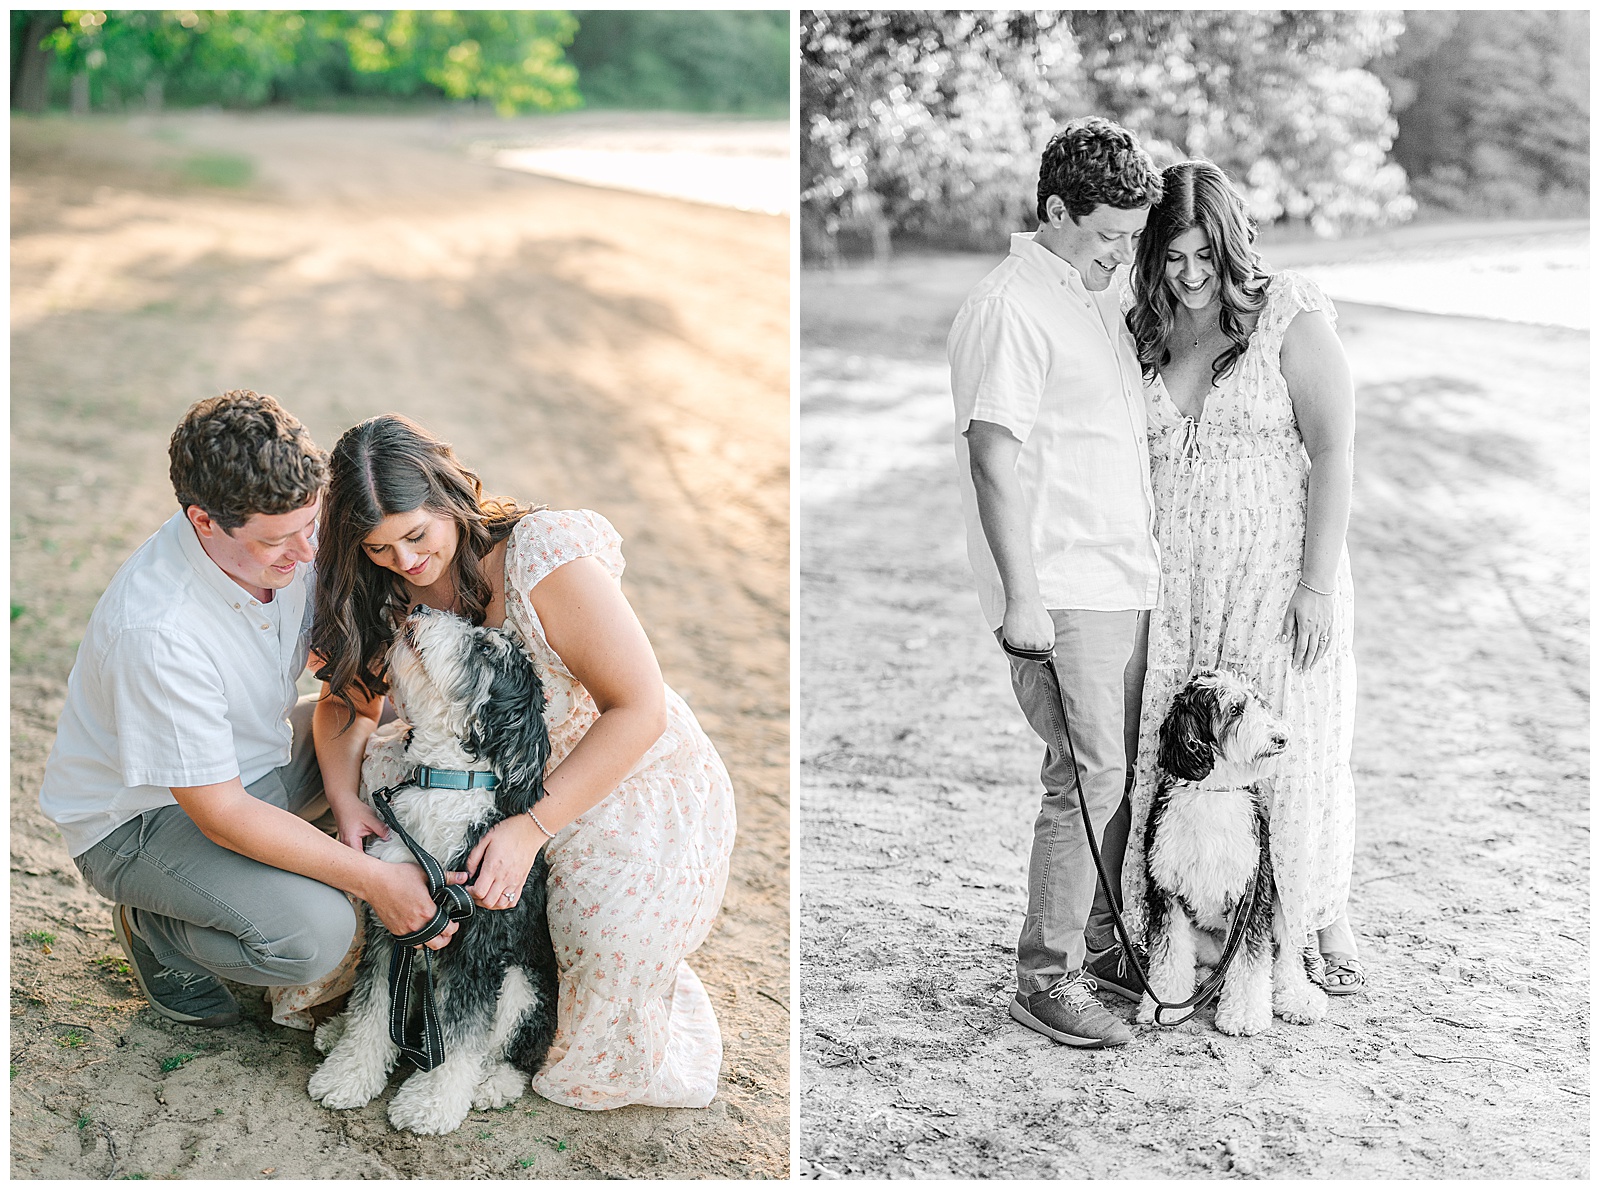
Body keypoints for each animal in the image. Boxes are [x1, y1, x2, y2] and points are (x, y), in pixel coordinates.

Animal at [308, 604, 560, 1132]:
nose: (421, 608)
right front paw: (347, 1075)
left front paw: (430, 1103)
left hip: (523, 986)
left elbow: (461, 1034)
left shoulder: (478, 947)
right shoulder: (396, 924)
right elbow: (372, 1008)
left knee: (518, 1052)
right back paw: (336, 1030)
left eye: (485, 648)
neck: (446, 782)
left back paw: (493, 1084)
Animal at [1139, 665, 1324, 1036]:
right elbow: (1169, 954)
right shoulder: (1166, 890)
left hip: (1282, 902)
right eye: (1235, 710)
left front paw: (1243, 1014)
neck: (1214, 791)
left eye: (1258, 702)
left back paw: (1299, 999)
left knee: (1287, 958)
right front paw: (1162, 1005)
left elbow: (1251, 960)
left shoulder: (1251, 889)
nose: (1281, 737)